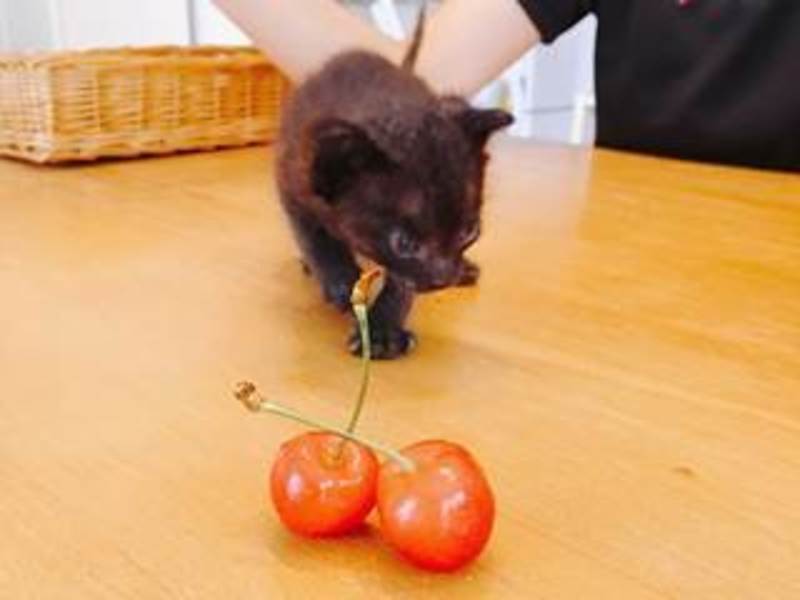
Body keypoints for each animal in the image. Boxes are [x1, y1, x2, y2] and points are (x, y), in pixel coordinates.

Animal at [275, 9, 513, 359]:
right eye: (404, 244)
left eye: (470, 232)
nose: (443, 277)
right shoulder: (292, 179)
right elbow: (312, 236)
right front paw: (338, 278)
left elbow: (402, 283)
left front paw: (381, 332)